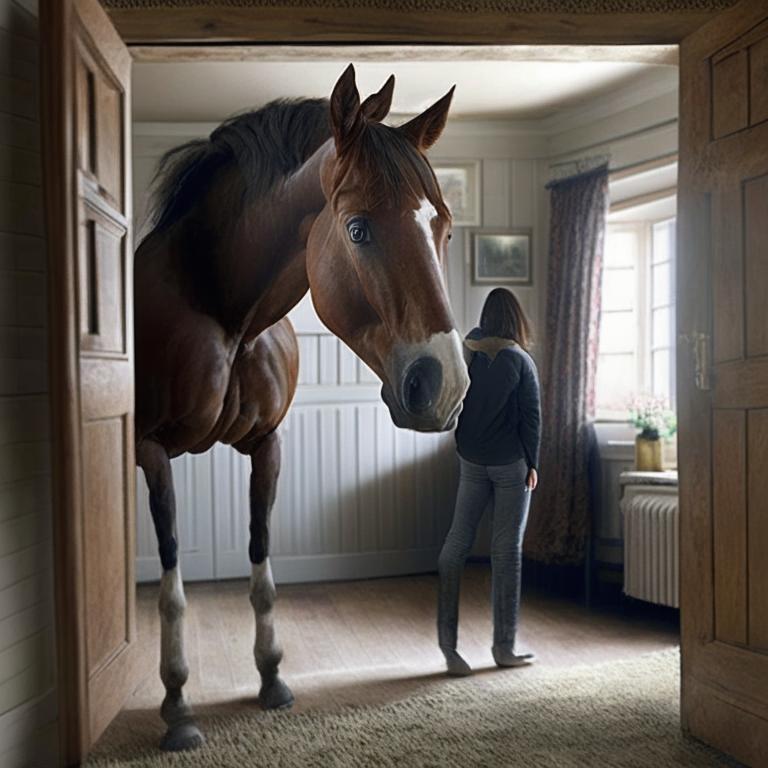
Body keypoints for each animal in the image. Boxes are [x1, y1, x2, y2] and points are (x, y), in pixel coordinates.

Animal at [134, 64, 469, 751]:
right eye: (358, 227)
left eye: (444, 226)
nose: (445, 384)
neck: (225, 310)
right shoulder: (153, 451)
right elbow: (171, 585)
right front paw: (177, 705)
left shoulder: (267, 446)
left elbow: (262, 568)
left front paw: (271, 679)